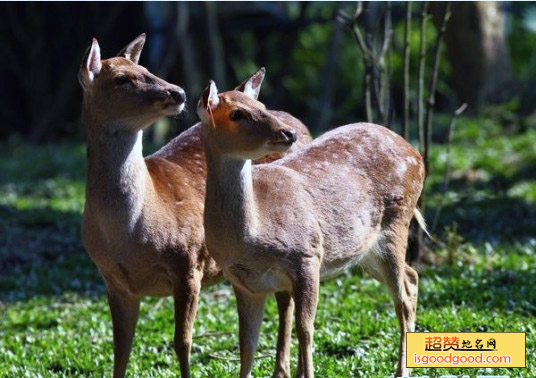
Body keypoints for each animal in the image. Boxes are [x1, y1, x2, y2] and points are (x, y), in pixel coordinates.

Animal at [80, 34, 314, 376]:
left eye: (147, 69)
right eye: (122, 78)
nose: (177, 92)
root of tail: (301, 124)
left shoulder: (188, 261)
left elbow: (182, 342)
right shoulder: (113, 280)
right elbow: (120, 348)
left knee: (286, 301)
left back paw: (282, 369)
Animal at [198, 81, 428, 376]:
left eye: (262, 105)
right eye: (237, 113)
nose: (289, 132)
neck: (252, 237)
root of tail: (417, 154)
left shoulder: (306, 255)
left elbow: (305, 328)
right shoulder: (243, 282)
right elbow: (247, 344)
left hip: (396, 222)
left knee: (403, 298)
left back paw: (401, 371)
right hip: (367, 250)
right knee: (412, 277)